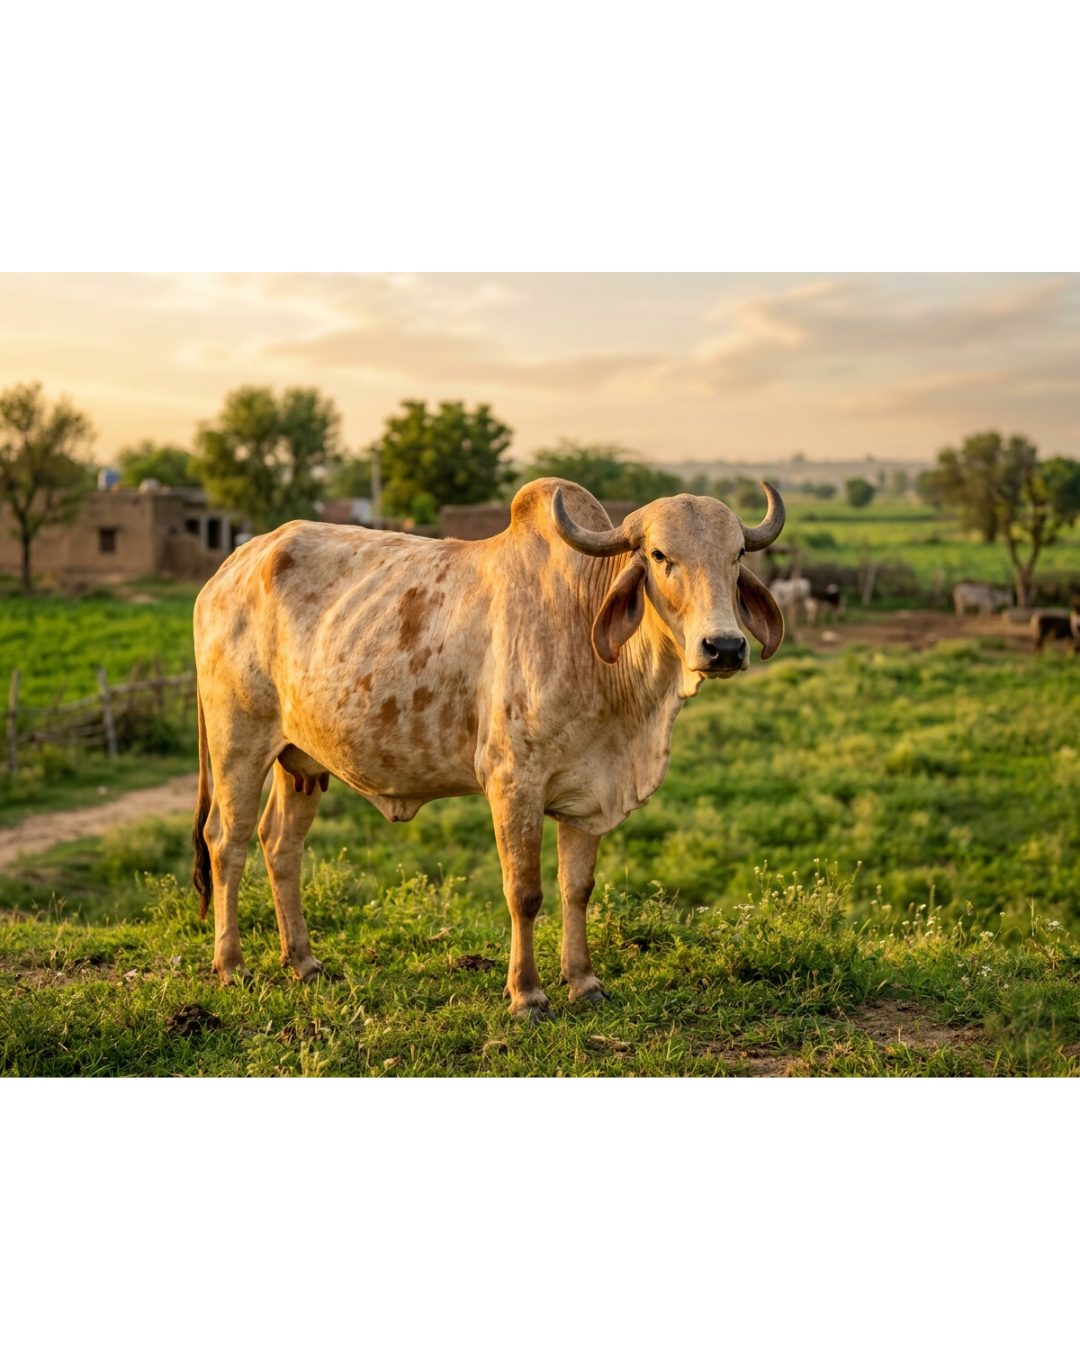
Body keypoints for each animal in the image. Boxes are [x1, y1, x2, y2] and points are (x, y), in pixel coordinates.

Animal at [191, 477, 786, 1021]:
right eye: (661, 556)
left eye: (736, 555)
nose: (724, 647)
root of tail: (231, 567)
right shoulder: (513, 783)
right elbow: (525, 893)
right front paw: (527, 995)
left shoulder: (588, 794)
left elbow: (578, 888)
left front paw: (584, 982)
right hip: (238, 742)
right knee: (226, 841)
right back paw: (232, 966)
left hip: (301, 761)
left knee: (280, 845)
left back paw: (305, 963)